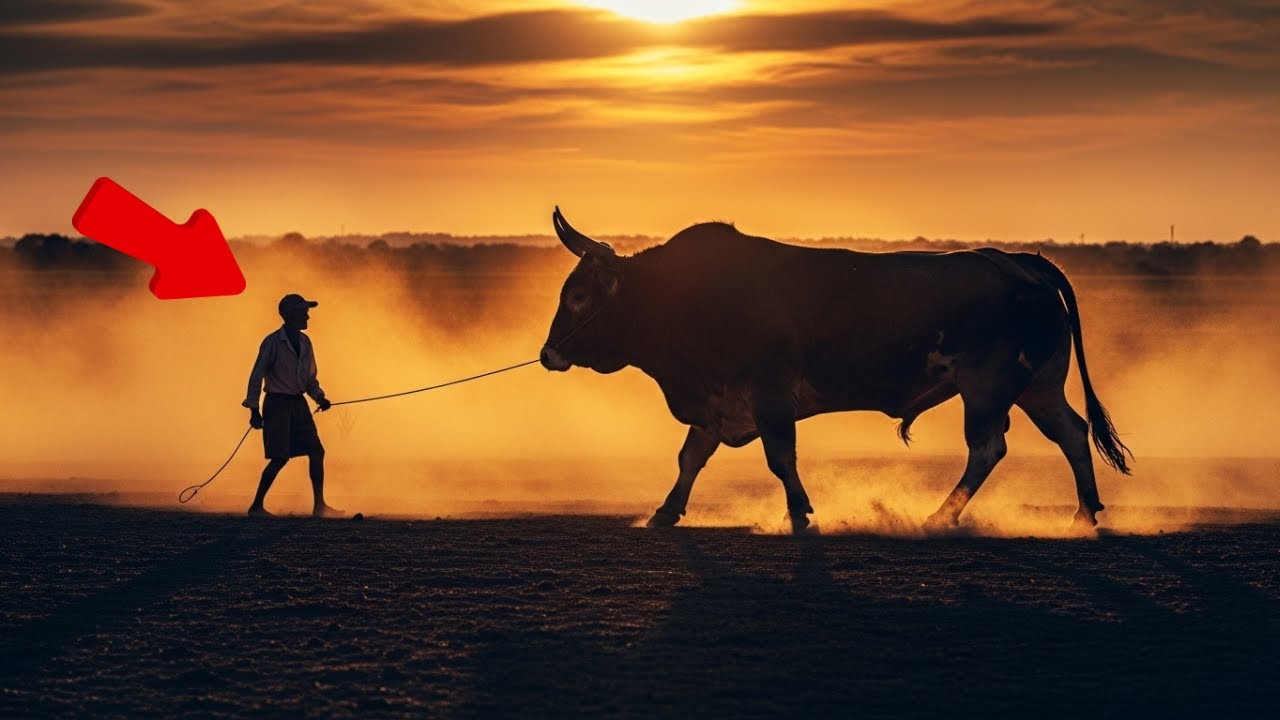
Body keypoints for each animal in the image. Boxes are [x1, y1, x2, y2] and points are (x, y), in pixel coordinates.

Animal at [539, 208, 1132, 533]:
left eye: (579, 295)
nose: (547, 355)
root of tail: (1021, 262)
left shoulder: (770, 393)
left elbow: (780, 457)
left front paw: (800, 513)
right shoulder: (718, 398)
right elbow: (691, 457)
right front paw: (665, 512)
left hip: (986, 389)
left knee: (988, 448)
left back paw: (941, 516)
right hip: (1040, 387)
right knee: (1072, 433)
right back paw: (1084, 513)